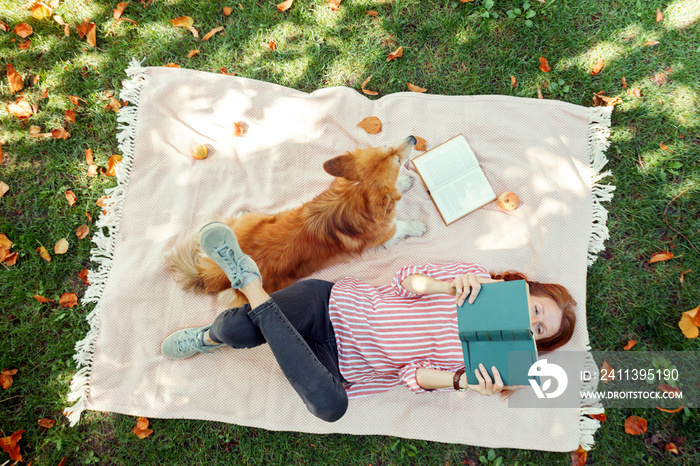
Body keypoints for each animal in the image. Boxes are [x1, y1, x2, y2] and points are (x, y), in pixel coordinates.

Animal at [170, 136, 426, 306]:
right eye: (395, 157)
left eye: (389, 148)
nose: (413, 137)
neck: (353, 195)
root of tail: (217, 273)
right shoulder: (386, 233)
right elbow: (402, 225)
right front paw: (419, 224)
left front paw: (404, 183)